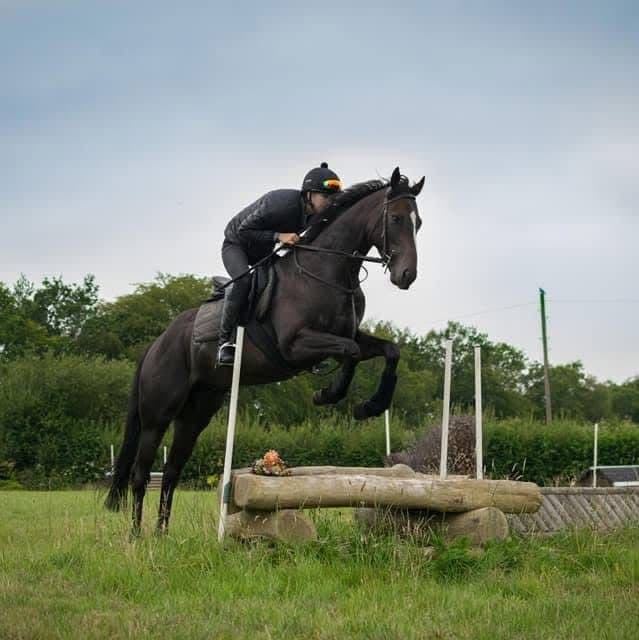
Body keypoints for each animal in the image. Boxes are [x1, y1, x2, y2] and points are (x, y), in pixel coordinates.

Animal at [105, 167, 425, 534]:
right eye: (396, 218)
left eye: (418, 222)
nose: (406, 276)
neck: (326, 272)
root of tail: (155, 345)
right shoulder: (295, 345)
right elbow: (351, 352)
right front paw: (328, 395)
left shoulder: (347, 335)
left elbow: (389, 350)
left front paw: (371, 405)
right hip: (157, 415)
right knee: (140, 474)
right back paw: (137, 537)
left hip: (196, 412)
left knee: (171, 471)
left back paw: (162, 533)